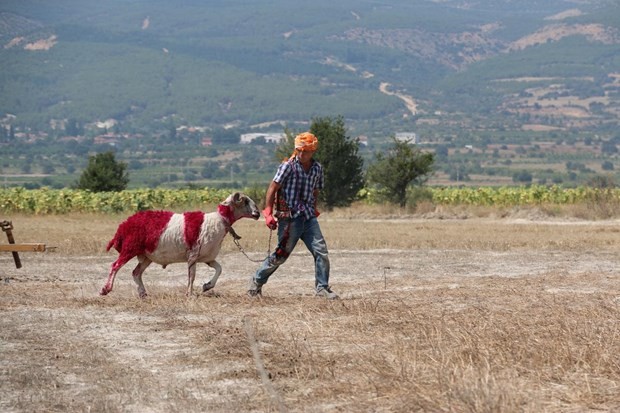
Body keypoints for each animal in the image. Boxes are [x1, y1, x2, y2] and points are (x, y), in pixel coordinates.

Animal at [100, 192, 260, 298]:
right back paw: (106, 289)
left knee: (136, 272)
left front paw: (207, 286)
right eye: (245, 201)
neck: (220, 220)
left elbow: (219, 269)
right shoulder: (193, 255)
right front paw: (190, 294)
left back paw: (143, 293)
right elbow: (192, 276)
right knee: (115, 266)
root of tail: (124, 225)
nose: (258, 213)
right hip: (129, 248)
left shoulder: (207, 257)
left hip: (146, 255)